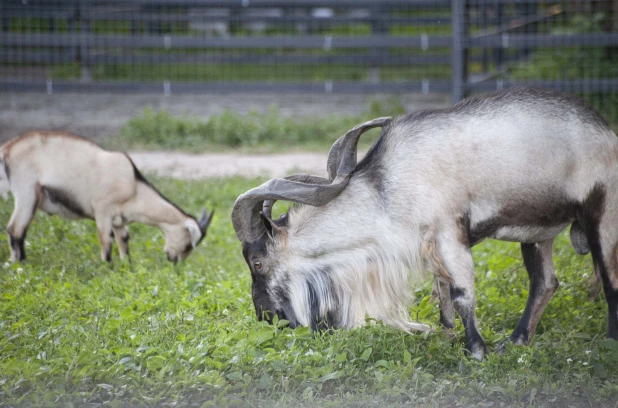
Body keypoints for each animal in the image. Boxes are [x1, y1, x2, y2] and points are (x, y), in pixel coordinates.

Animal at [0, 132, 212, 262]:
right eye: (188, 243)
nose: (174, 260)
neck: (134, 186)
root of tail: (9, 147)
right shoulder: (103, 210)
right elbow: (106, 240)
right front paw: (107, 267)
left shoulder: (120, 220)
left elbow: (124, 241)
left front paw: (127, 265)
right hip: (27, 192)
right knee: (15, 229)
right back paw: (20, 264)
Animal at [231, 87, 616, 358]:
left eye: (258, 262)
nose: (266, 317)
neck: (390, 186)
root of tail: (607, 132)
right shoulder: (431, 248)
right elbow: (443, 292)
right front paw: (449, 339)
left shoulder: (451, 234)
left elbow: (462, 293)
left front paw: (476, 351)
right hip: (537, 232)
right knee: (545, 282)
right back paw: (516, 341)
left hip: (601, 215)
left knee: (609, 278)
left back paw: (609, 342)